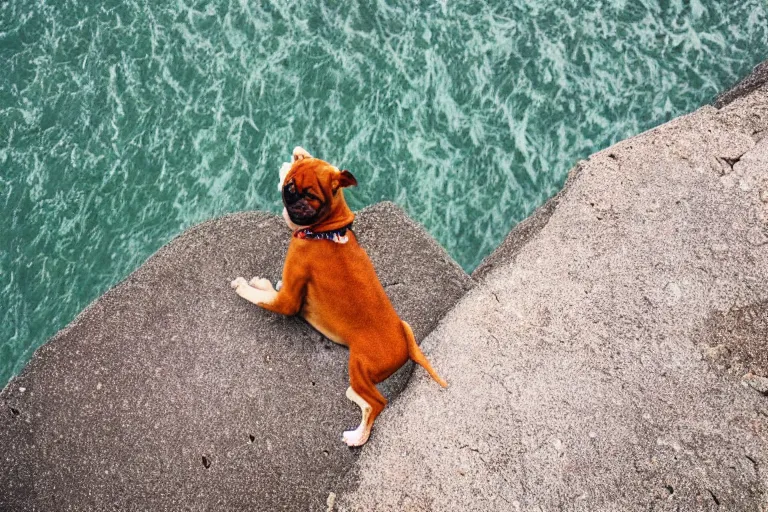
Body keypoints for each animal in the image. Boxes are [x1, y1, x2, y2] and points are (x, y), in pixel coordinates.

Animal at [230, 146, 444, 446]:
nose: (296, 199)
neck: (327, 230)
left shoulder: (287, 302)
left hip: (358, 363)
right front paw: (263, 282)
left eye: (309, 194)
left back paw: (357, 436)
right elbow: (270, 289)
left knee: (377, 403)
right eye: (292, 184)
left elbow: (262, 297)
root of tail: (407, 344)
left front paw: (243, 286)